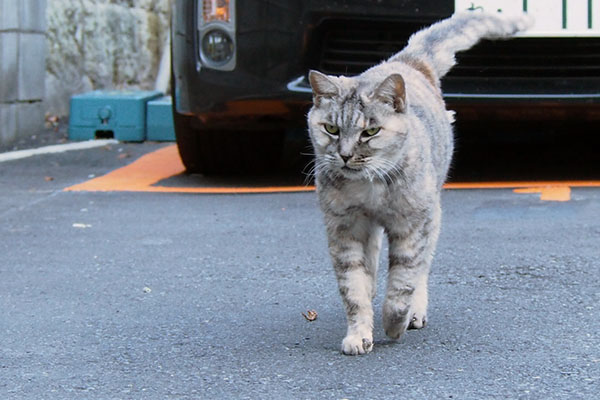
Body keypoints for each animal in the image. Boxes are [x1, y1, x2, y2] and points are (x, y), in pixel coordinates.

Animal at [308, 11, 532, 356]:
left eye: (370, 131)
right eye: (331, 128)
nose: (345, 155)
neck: (369, 187)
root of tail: (409, 60)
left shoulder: (410, 227)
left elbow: (403, 281)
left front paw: (395, 323)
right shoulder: (344, 230)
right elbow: (354, 289)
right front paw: (359, 333)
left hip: (432, 215)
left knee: (422, 268)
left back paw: (414, 311)